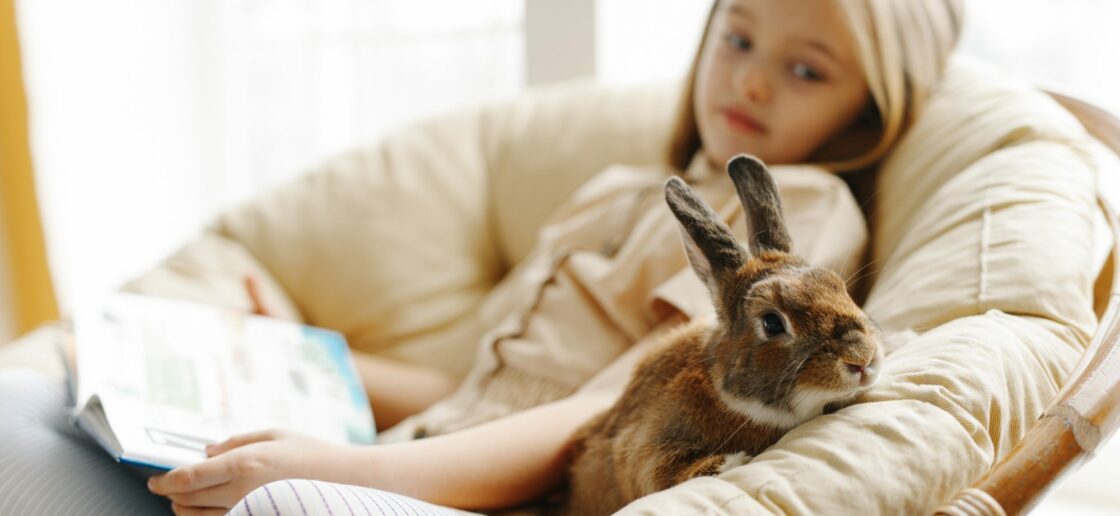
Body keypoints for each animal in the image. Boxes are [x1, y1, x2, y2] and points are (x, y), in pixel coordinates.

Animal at [560, 153, 882, 514]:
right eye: (772, 323)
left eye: (839, 287)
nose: (862, 358)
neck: (725, 392)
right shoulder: (642, 448)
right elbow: (658, 471)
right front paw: (729, 463)